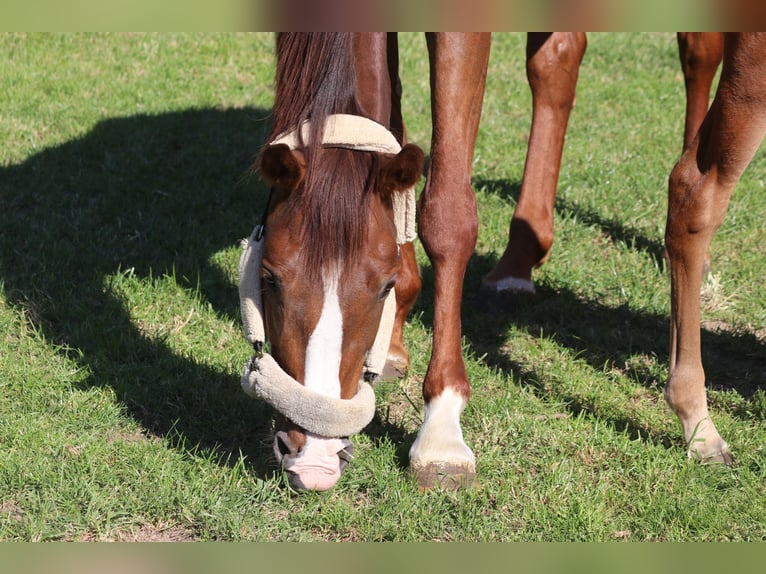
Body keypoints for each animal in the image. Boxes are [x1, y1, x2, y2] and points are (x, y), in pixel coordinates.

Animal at [241, 33, 764, 491]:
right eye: (268, 278)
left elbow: (448, 216)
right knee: (555, 62)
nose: (315, 461)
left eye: (383, 285)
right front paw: (393, 340)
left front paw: (441, 433)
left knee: (692, 56)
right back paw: (515, 264)